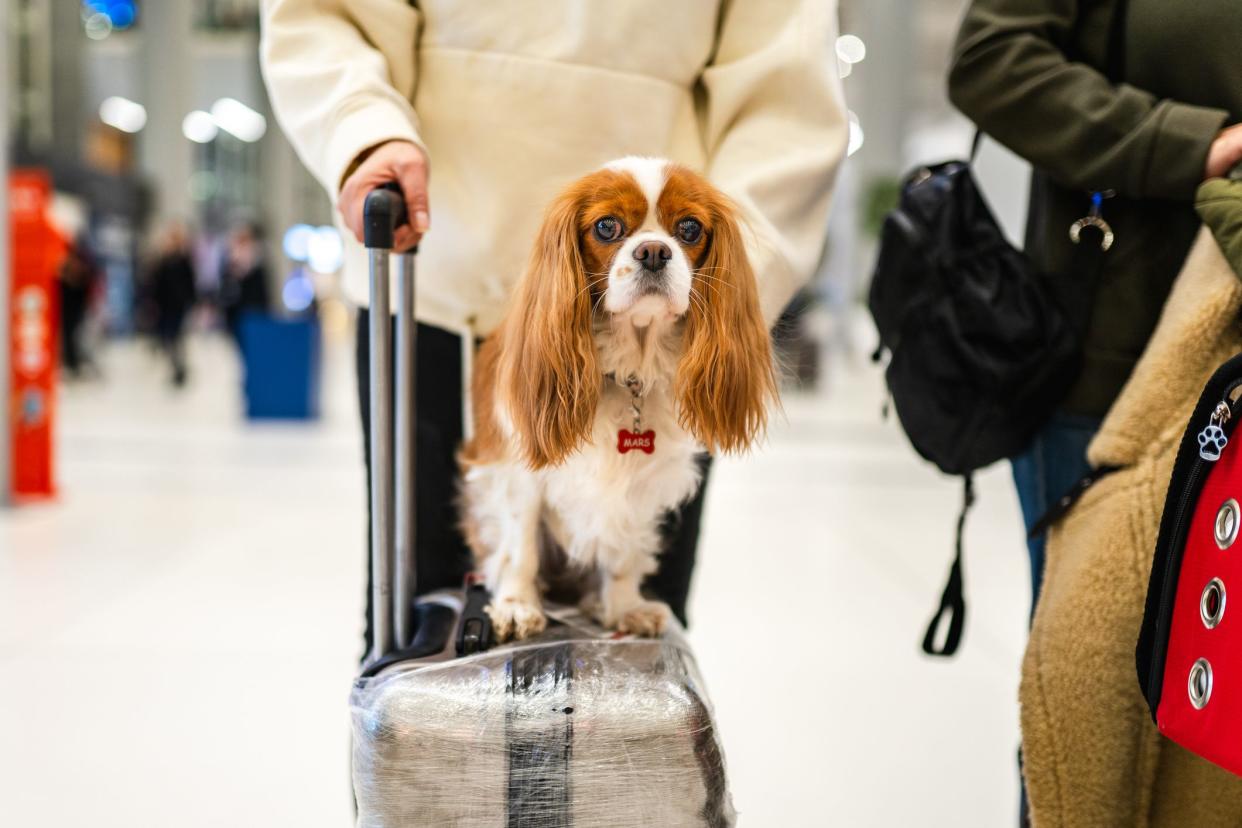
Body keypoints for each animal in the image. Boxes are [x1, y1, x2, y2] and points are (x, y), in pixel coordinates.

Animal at [457, 158, 775, 645]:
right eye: (607, 226)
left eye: (689, 228)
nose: (653, 252)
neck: (630, 370)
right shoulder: (517, 469)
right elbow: (519, 545)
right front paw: (515, 605)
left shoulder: (642, 480)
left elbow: (624, 551)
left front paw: (624, 608)